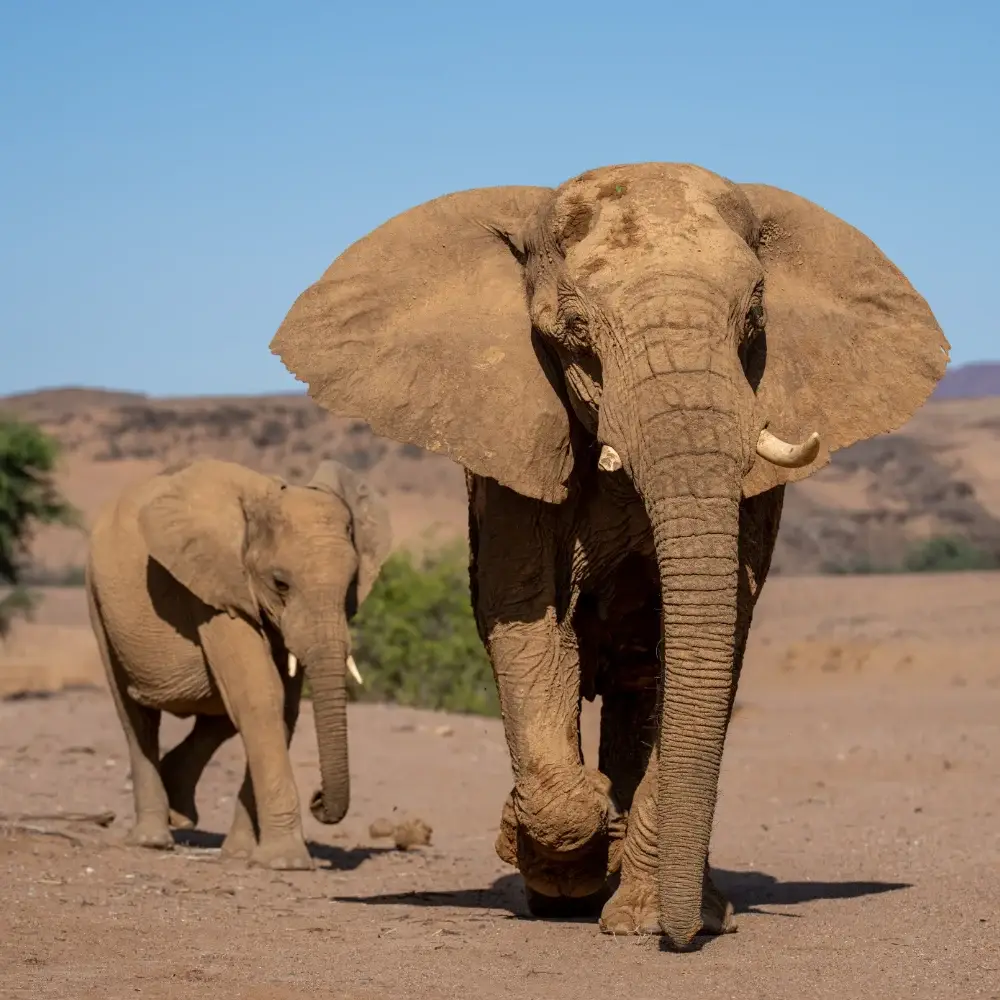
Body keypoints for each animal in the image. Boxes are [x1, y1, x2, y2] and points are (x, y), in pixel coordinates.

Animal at [85, 457, 391, 869]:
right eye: (280, 583)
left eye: (350, 586)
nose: (318, 800)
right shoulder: (215, 586)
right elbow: (261, 697)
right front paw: (286, 863)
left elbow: (283, 706)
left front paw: (243, 855)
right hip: (98, 598)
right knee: (135, 717)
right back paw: (153, 840)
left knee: (218, 716)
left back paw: (179, 810)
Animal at [268, 162, 948, 945]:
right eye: (573, 330)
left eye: (753, 319)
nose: (684, 937)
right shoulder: (514, 447)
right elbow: (527, 621)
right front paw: (555, 860)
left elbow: (711, 637)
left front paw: (642, 911)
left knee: (642, 683)